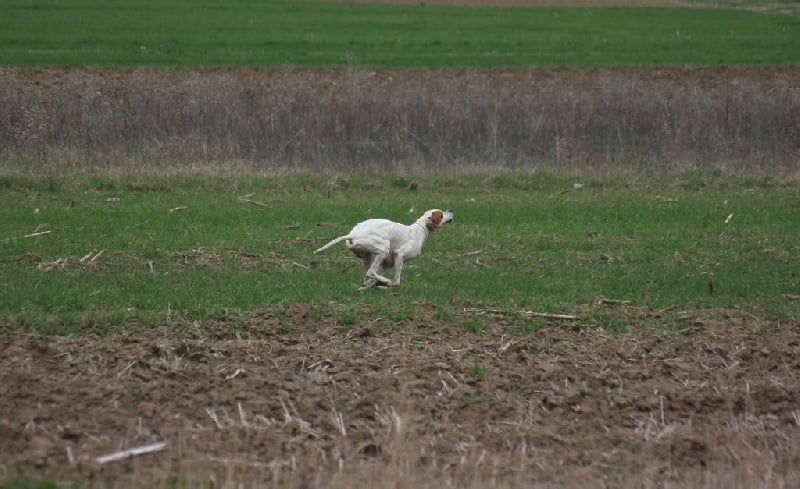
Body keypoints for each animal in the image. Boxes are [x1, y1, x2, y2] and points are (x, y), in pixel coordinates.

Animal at [315, 209, 454, 290]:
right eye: (441, 214)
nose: (451, 210)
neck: (419, 229)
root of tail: (352, 235)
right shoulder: (399, 255)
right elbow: (396, 281)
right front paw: (387, 284)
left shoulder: (386, 264)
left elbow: (372, 280)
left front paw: (376, 285)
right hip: (383, 249)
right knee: (370, 272)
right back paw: (384, 281)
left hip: (368, 256)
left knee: (367, 275)